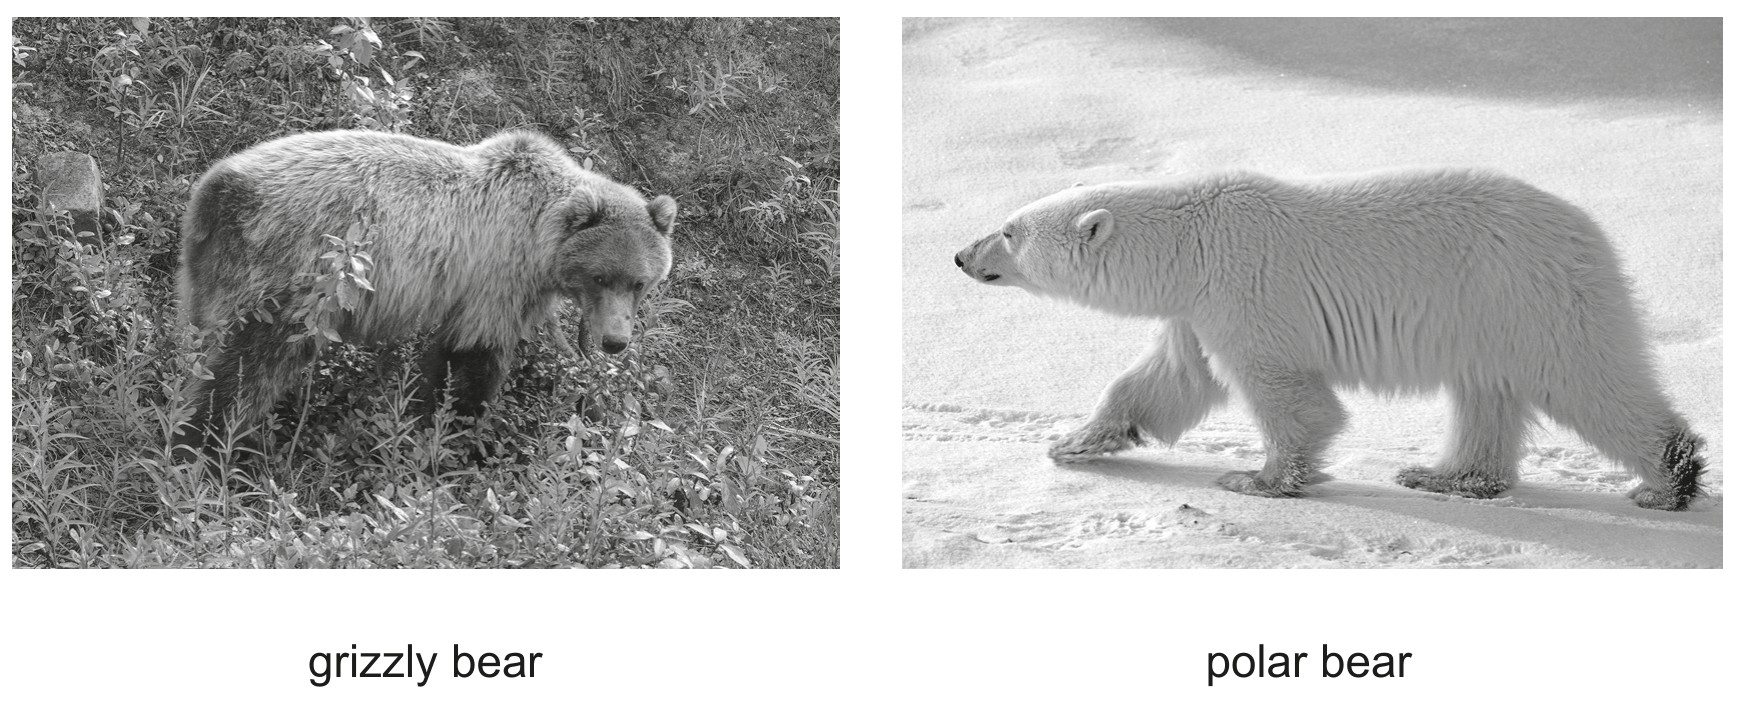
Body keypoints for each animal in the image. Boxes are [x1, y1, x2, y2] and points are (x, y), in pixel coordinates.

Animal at [175, 129, 676, 463]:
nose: (615, 341)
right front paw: (463, 435)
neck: (540, 239)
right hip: (294, 272)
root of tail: (217, 187)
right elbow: (475, 354)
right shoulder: (497, 273)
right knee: (247, 365)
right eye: (600, 277)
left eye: (639, 282)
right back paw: (203, 447)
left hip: (209, 272)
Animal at [954, 168, 1707, 511]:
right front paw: (1074, 442)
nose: (959, 255)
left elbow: (1284, 392)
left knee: (1588, 382)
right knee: (1485, 394)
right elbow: (1167, 379)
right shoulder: (1196, 311)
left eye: (1009, 231)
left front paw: (1257, 478)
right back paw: (1445, 475)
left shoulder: (1244, 293)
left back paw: (1668, 480)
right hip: (1488, 318)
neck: (1192, 246)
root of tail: (1589, 231)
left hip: (1525, 297)